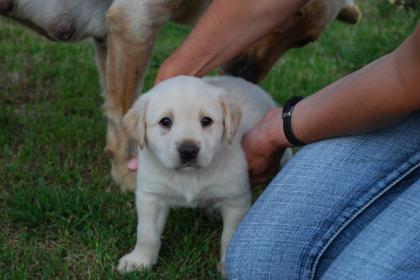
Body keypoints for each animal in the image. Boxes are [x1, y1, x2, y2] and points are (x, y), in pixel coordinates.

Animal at [118, 76, 278, 276]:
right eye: (165, 121)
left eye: (206, 121)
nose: (188, 150)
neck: (189, 175)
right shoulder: (151, 196)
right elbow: (147, 234)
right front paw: (139, 260)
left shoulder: (236, 199)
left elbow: (229, 237)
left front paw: (226, 267)